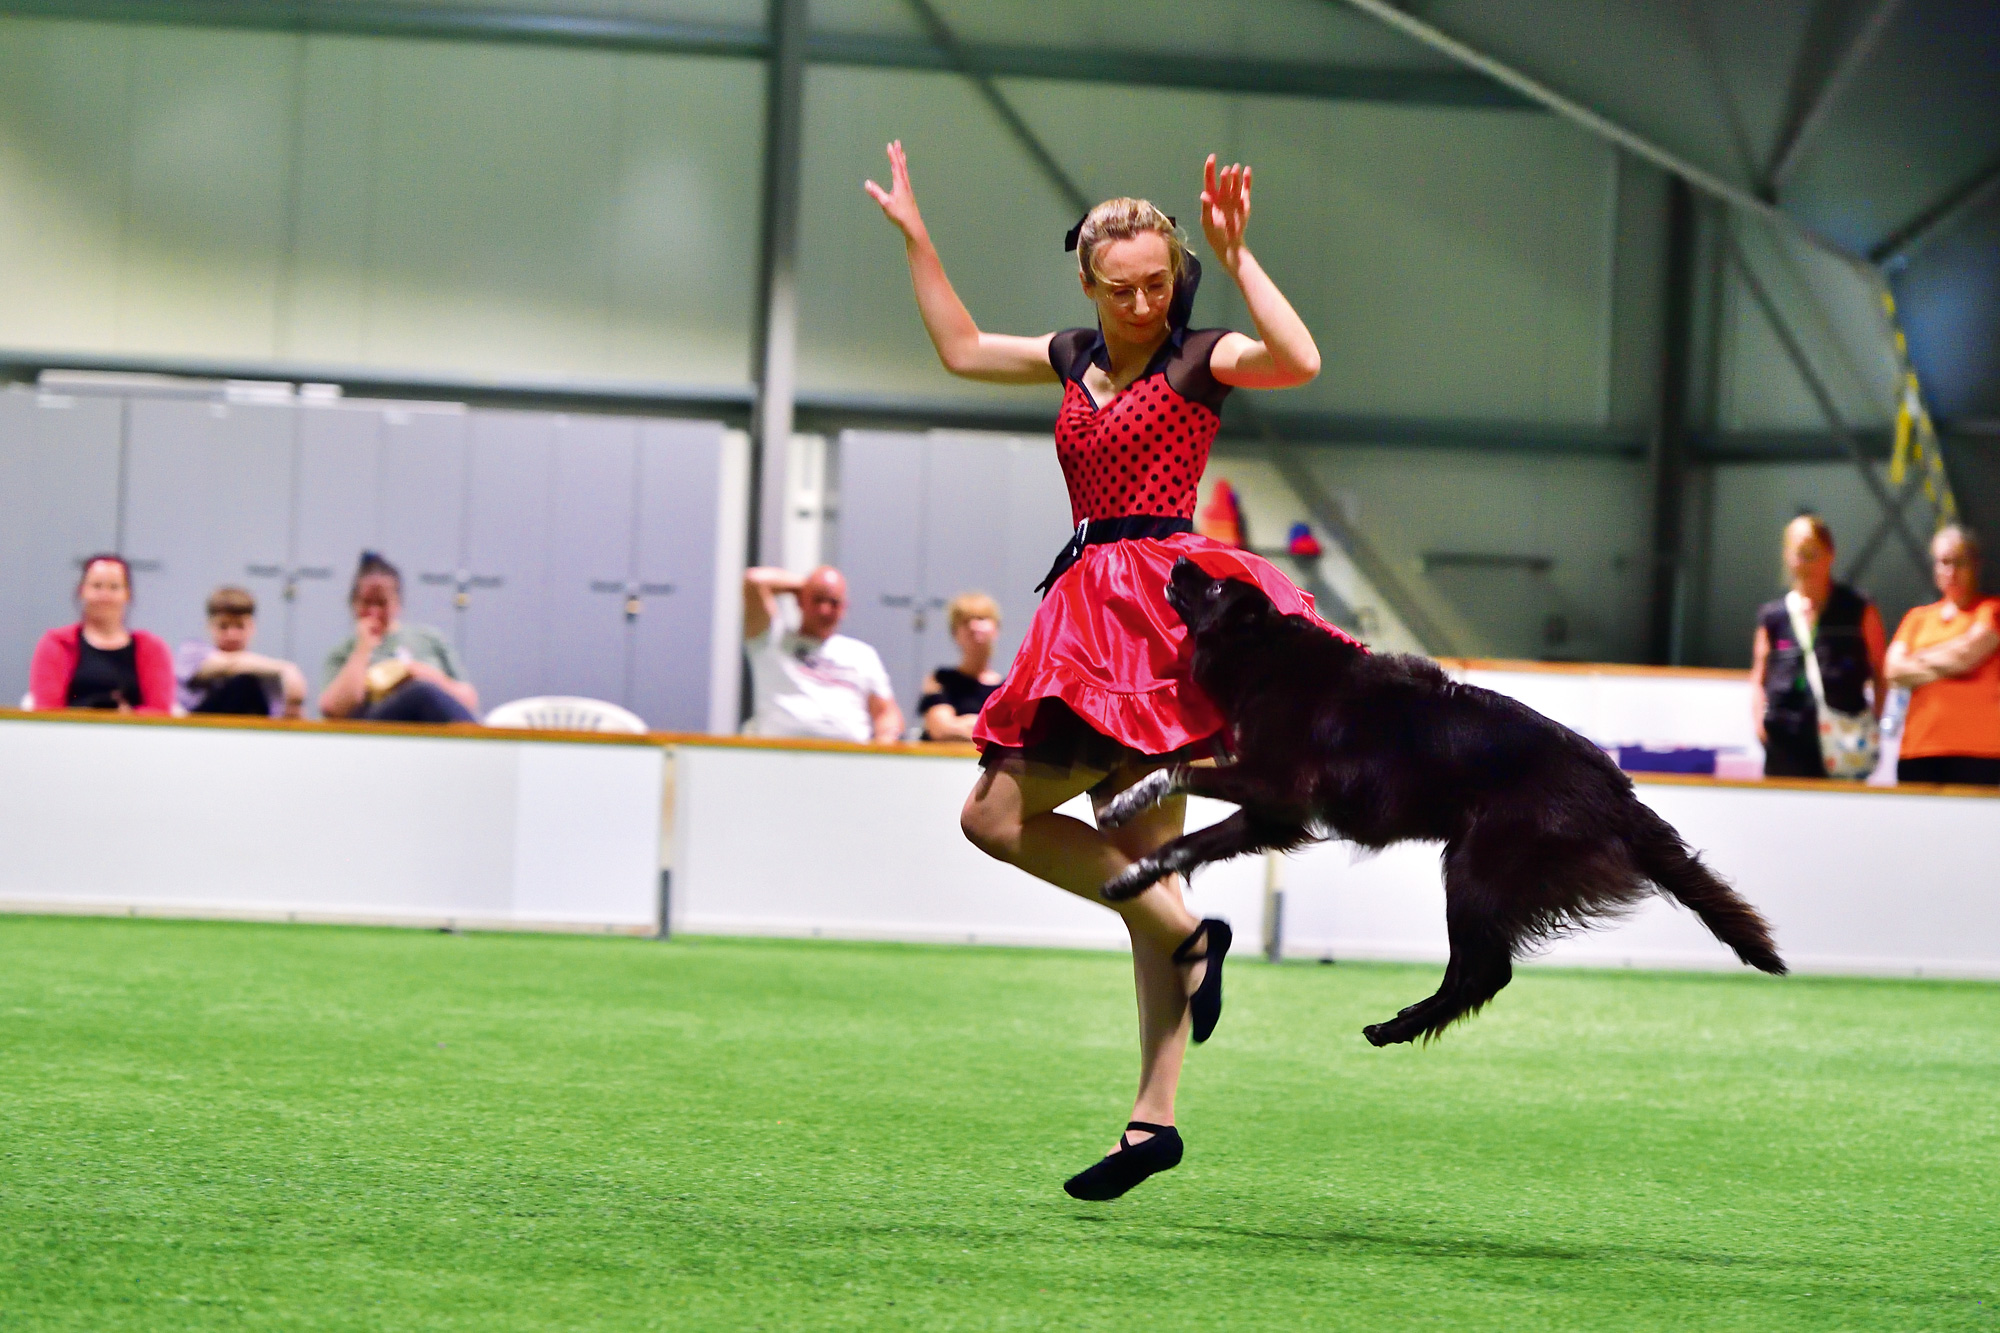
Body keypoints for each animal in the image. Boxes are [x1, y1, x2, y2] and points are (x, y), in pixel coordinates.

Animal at [1099, 558, 1787, 1046]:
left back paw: (1396, 1027)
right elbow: (1187, 843)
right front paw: (1133, 874)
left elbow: (1180, 772)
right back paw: (1400, 1024)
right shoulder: (1274, 815)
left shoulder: (1278, 786)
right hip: (1473, 865)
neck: (1271, 659)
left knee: (1484, 972)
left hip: (1476, 867)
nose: (1178, 563)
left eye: (1215, 587)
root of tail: (1619, 794)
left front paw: (1125, 802)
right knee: (1481, 972)